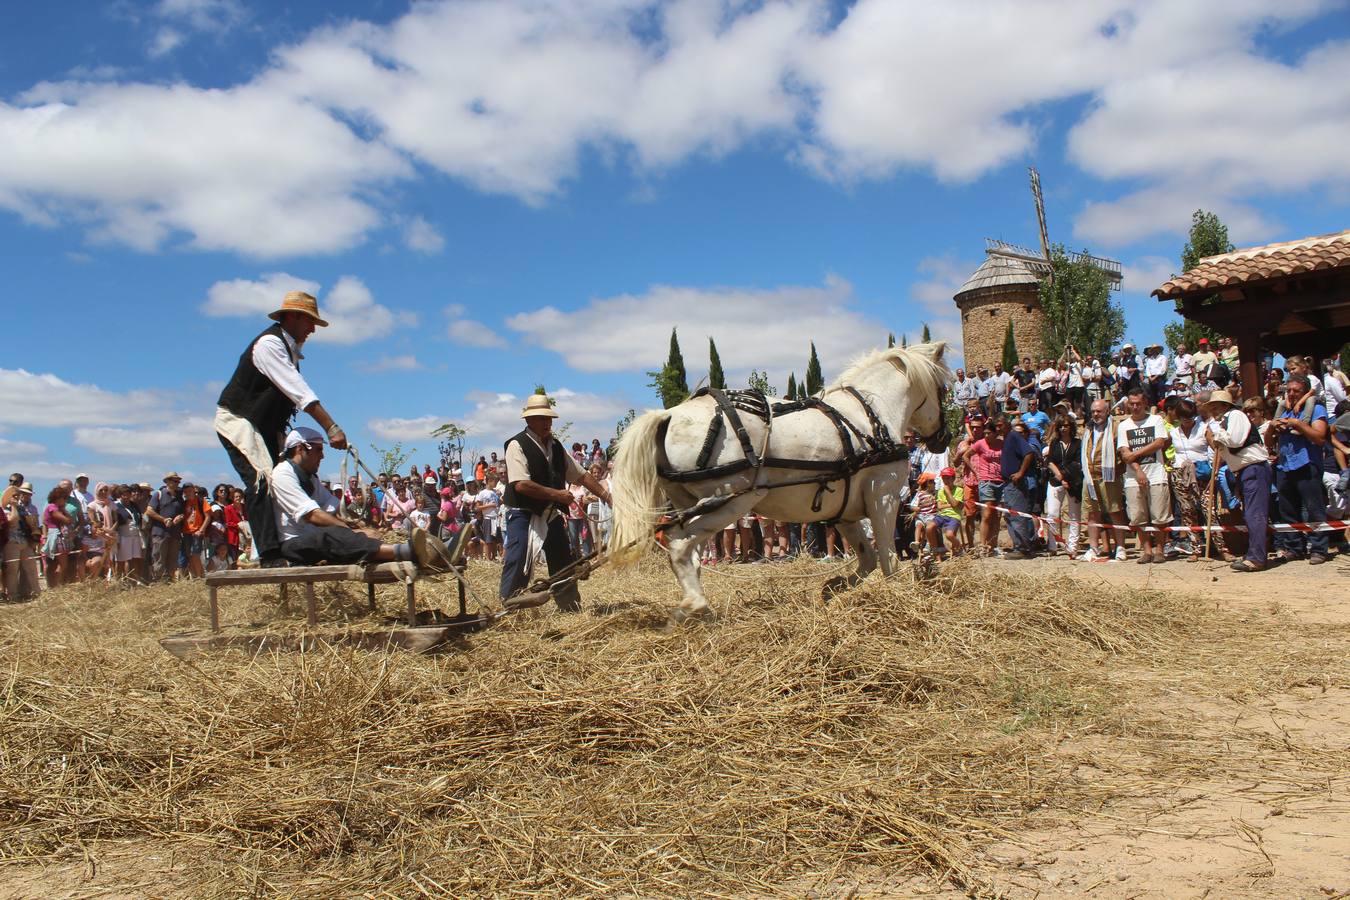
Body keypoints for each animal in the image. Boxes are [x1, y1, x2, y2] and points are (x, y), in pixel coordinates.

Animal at [612, 341, 950, 623]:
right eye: (944, 390)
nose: (943, 438)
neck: (871, 414)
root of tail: (669, 415)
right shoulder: (884, 495)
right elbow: (888, 557)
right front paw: (894, 597)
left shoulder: (845, 511)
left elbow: (867, 557)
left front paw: (834, 587)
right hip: (734, 499)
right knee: (680, 545)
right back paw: (694, 606)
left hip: (692, 503)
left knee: (689, 552)